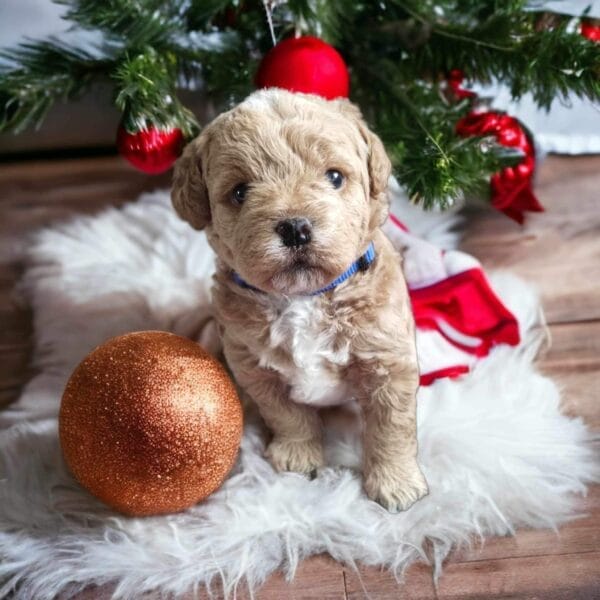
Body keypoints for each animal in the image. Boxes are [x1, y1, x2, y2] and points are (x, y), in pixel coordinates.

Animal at [171, 88, 428, 510]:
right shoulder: (252, 365)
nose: (295, 227)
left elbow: (391, 428)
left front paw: (396, 483)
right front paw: (298, 455)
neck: (303, 298)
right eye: (239, 192)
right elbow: (286, 414)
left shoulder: (388, 364)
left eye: (335, 176)